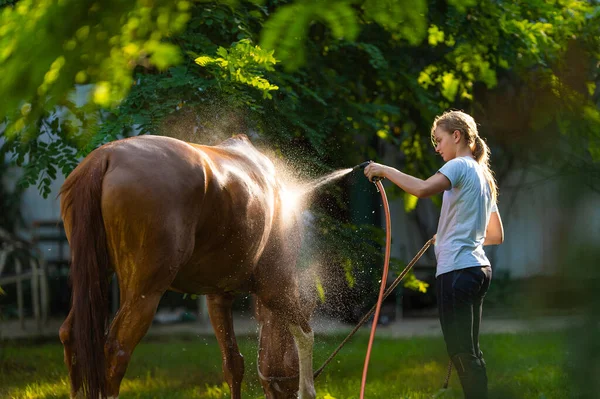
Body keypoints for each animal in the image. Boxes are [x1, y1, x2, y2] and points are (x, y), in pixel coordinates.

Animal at [58, 135, 316, 399]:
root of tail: (104, 157)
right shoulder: (276, 286)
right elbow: (306, 334)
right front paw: (307, 390)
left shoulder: (219, 296)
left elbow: (233, 363)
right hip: (145, 291)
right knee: (117, 349)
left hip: (97, 276)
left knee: (72, 335)